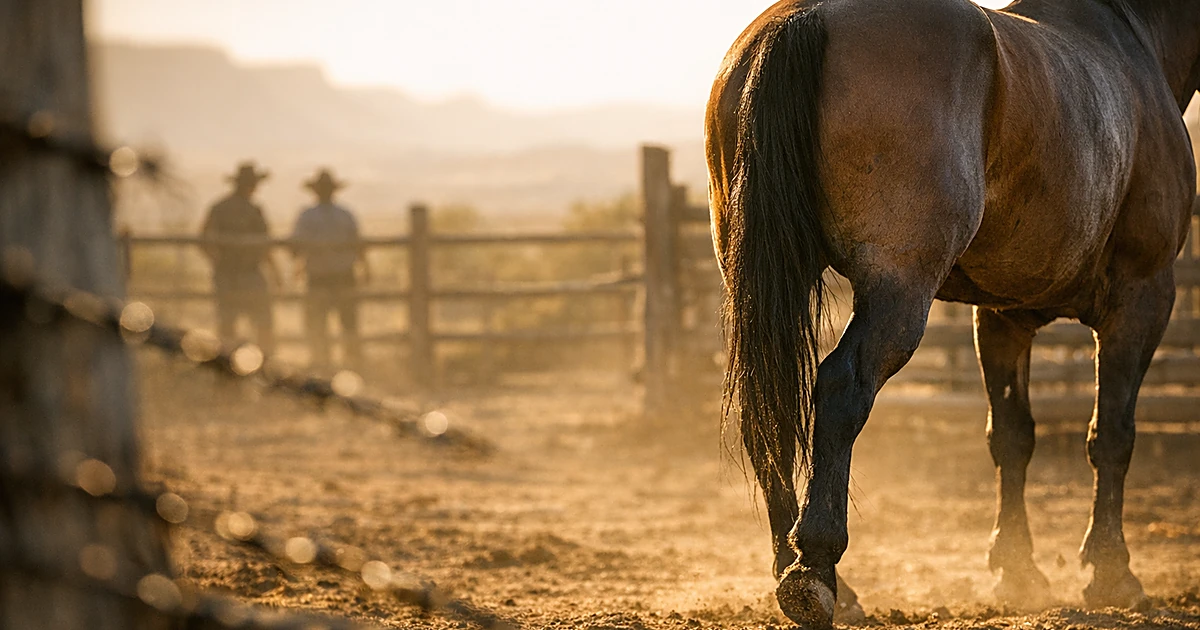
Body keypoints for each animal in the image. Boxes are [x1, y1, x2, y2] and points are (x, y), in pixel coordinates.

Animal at [705, 0, 1200, 626]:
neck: (1133, 39)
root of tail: (806, 17)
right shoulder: (1142, 299)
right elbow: (1111, 434)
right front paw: (1112, 572)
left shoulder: (1004, 315)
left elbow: (1012, 435)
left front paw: (1018, 570)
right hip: (898, 288)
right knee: (840, 387)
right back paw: (813, 569)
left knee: (765, 411)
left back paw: (800, 571)